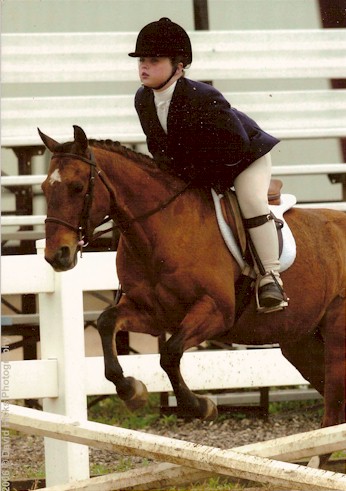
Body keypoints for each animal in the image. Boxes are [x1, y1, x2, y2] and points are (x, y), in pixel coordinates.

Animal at [39, 123, 344, 454]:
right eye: (44, 188)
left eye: (77, 187)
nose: (57, 255)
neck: (160, 233)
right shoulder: (153, 314)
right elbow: (107, 322)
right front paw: (132, 390)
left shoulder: (216, 312)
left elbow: (170, 352)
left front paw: (199, 406)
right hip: (302, 342)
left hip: (335, 338)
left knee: (333, 413)